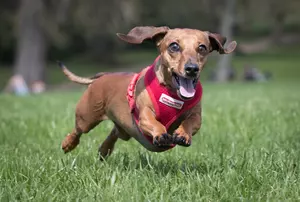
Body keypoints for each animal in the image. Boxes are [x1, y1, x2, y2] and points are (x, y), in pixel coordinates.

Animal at [59, 26, 237, 159]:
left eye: (202, 48)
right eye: (174, 46)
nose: (192, 69)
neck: (172, 94)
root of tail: (103, 76)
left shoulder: (196, 116)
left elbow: (191, 122)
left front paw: (183, 134)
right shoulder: (145, 114)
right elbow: (154, 122)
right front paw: (161, 134)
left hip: (124, 130)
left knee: (114, 133)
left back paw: (104, 150)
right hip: (87, 117)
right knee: (78, 130)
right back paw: (68, 144)